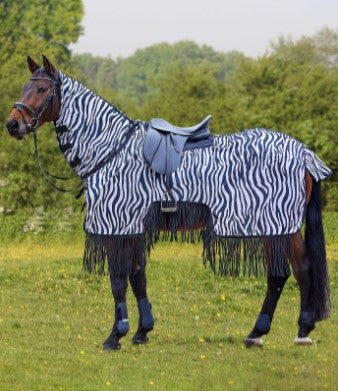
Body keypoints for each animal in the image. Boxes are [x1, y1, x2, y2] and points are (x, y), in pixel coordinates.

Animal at [6, 54, 332, 350]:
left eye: (41, 89)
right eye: (24, 86)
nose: (12, 125)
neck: (111, 151)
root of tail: (304, 153)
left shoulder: (117, 225)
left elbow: (118, 279)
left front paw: (115, 336)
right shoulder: (133, 228)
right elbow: (137, 276)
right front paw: (142, 331)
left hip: (278, 226)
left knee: (293, 271)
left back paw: (289, 331)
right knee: (289, 272)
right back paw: (270, 333)